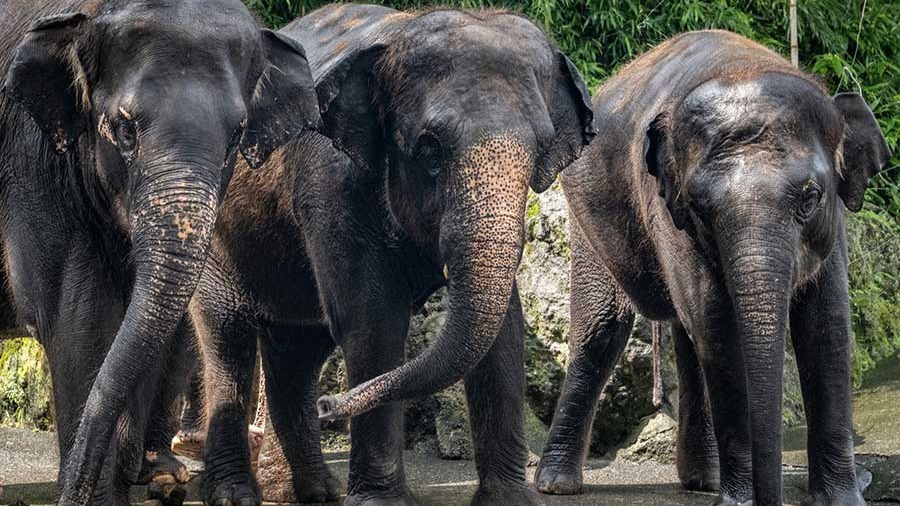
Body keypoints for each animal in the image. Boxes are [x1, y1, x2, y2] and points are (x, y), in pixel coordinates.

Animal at [0, 0, 320, 504]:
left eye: (237, 135)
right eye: (124, 129)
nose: (73, 491)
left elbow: (142, 318)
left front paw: (143, 483)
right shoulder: (32, 159)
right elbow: (74, 315)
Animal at [190, 4, 595, 506]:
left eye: (540, 149)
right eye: (430, 150)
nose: (330, 406)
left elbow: (506, 332)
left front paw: (509, 501)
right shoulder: (331, 185)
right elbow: (373, 320)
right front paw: (381, 501)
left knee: (298, 347)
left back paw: (311, 491)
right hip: (213, 238)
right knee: (227, 338)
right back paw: (237, 494)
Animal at [534, 30, 891, 506]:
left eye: (810, 197)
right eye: (701, 208)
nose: (770, 497)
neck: (744, 68)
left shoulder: (834, 226)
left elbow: (827, 325)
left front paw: (842, 501)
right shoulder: (668, 209)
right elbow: (719, 326)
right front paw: (739, 501)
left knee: (686, 336)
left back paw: (703, 480)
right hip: (587, 217)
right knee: (602, 330)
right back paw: (557, 484)